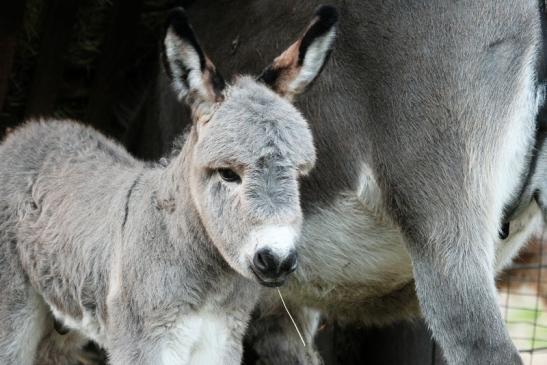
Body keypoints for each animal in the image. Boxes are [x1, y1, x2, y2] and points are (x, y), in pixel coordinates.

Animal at [0, 8, 336, 364]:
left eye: (299, 175)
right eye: (227, 173)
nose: (277, 261)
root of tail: (35, 128)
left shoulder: (222, 339)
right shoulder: (142, 343)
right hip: (15, 305)